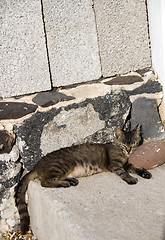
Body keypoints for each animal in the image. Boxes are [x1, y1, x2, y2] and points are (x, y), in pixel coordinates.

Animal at [14, 125, 152, 234]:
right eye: (124, 145)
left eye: (133, 144)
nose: (129, 150)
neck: (123, 154)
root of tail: (35, 166)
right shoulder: (115, 165)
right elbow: (124, 173)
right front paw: (131, 179)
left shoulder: (127, 164)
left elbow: (136, 167)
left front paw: (144, 173)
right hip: (63, 165)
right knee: (45, 182)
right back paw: (65, 183)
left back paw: (71, 181)